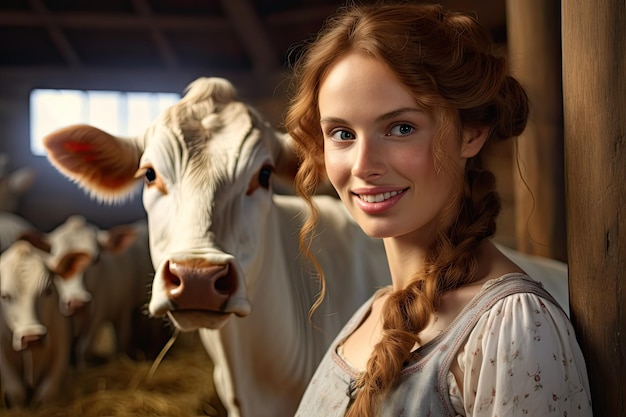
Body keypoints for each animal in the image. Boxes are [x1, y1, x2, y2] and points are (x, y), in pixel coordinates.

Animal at [0, 239, 75, 404]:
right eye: (4, 295)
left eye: (48, 290)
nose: (31, 337)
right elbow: (16, 391)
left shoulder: (62, 348)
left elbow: (47, 392)